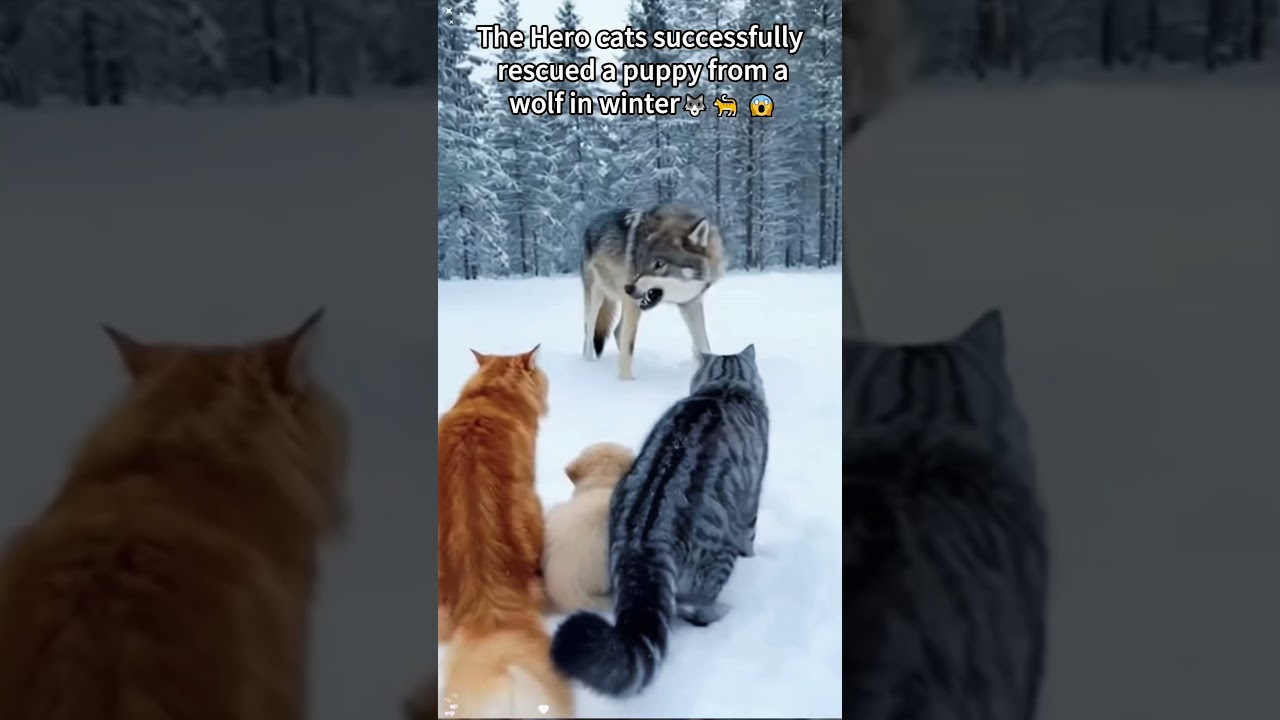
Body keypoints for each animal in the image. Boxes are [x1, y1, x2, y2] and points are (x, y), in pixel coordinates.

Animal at [581, 204, 728, 381]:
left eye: (659, 264)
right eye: (640, 262)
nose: (628, 288)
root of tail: (592, 221)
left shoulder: (691, 304)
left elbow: (704, 344)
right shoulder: (632, 304)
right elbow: (627, 348)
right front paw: (626, 383)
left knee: (617, 331)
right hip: (598, 298)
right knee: (589, 332)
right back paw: (588, 365)